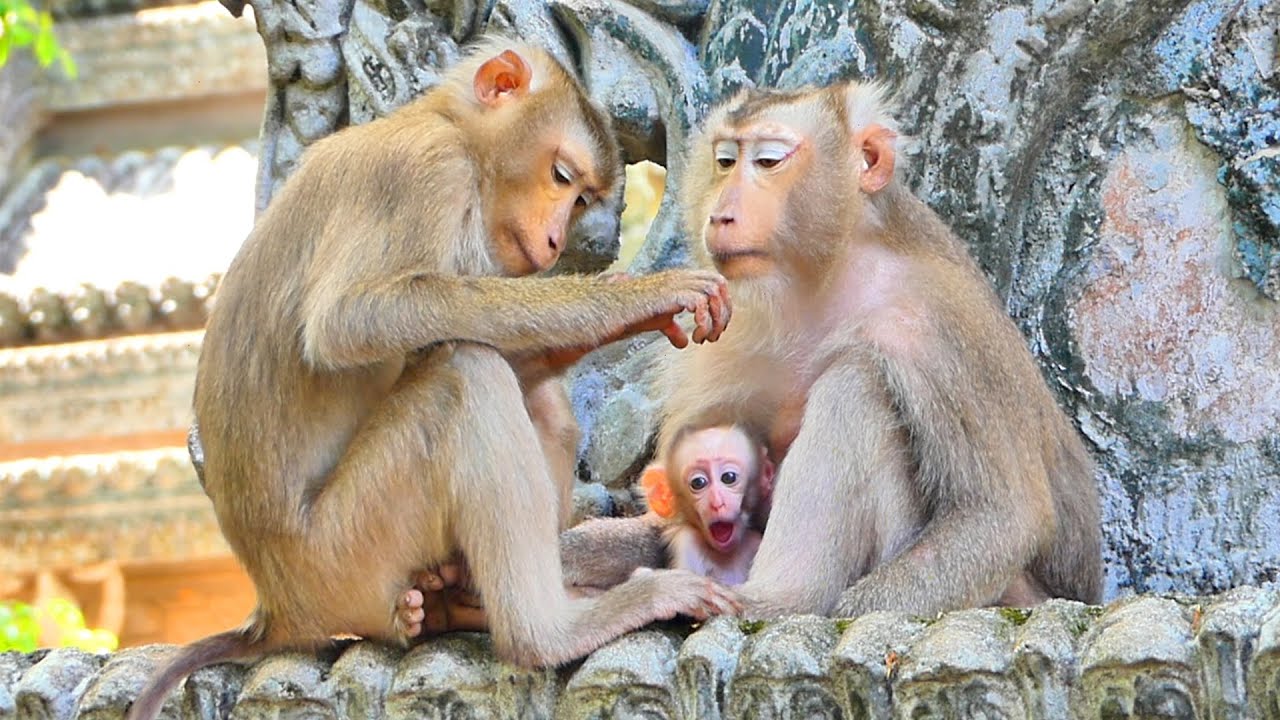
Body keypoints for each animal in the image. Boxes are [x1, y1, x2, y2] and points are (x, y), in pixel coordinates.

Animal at [126, 39, 742, 720]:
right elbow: (353, 319)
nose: (558, 240)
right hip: (345, 550)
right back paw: (548, 633)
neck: (446, 127)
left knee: (536, 399)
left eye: (581, 198)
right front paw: (638, 298)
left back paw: (453, 600)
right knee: (465, 372)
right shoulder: (429, 171)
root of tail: (276, 609)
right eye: (562, 178)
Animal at [561, 81, 1102, 620]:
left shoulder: (940, 321)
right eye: (724, 160)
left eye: (768, 161)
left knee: (857, 385)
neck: (827, 273)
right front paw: (582, 554)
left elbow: (1002, 515)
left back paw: (776, 600)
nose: (721, 214)